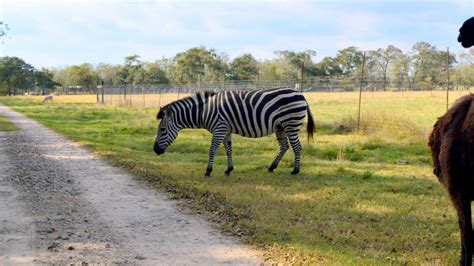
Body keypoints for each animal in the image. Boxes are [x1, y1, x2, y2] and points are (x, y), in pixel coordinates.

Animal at [154, 87, 312, 177]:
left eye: (162, 130)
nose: (155, 150)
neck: (204, 112)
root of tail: (301, 95)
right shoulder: (225, 130)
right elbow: (228, 150)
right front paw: (229, 170)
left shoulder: (219, 128)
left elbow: (212, 150)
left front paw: (208, 171)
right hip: (280, 127)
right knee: (284, 146)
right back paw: (272, 167)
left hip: (291, 124)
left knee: (297, 147)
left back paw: (295, 171)